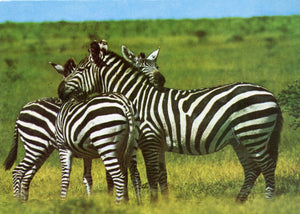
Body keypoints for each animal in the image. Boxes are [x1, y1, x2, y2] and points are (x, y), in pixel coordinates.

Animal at [56, 40, 284, 202]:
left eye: (81, 69)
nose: (59, 91)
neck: (137, 99)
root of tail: (270, 94)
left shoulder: (149, 140)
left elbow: (151, 174)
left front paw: (154, 203)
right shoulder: (159, 144)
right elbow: (162, 175)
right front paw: (164, 203)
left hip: (253, 132)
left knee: (267, 165)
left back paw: (268, 201)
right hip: (240, 139)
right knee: (252, 169)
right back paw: (239, 201)